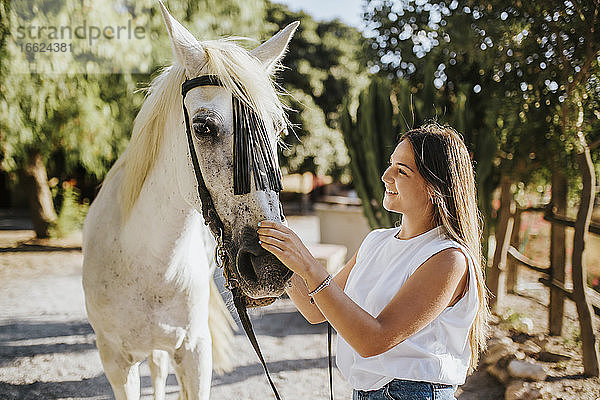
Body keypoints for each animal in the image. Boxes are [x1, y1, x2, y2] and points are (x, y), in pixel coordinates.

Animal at [83, 2, 298, 396]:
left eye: (276, 130)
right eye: (204, 127)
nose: (270, 264)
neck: (144, 262)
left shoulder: (196, 355)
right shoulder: (116, 364)